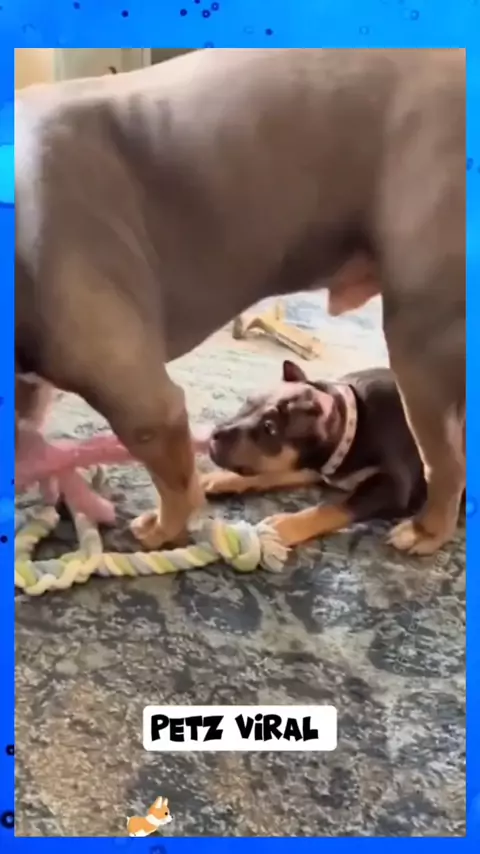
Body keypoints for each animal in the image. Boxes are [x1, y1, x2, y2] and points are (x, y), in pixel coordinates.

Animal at [202, 361, 430, 547]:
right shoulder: (314, 464)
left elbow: (333, 508)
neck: (353, 426)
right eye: (248, 402)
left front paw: (284, 526)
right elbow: (274, 473)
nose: (215, 434)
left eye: (269, 428)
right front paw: (218, 479)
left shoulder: (392, 487)